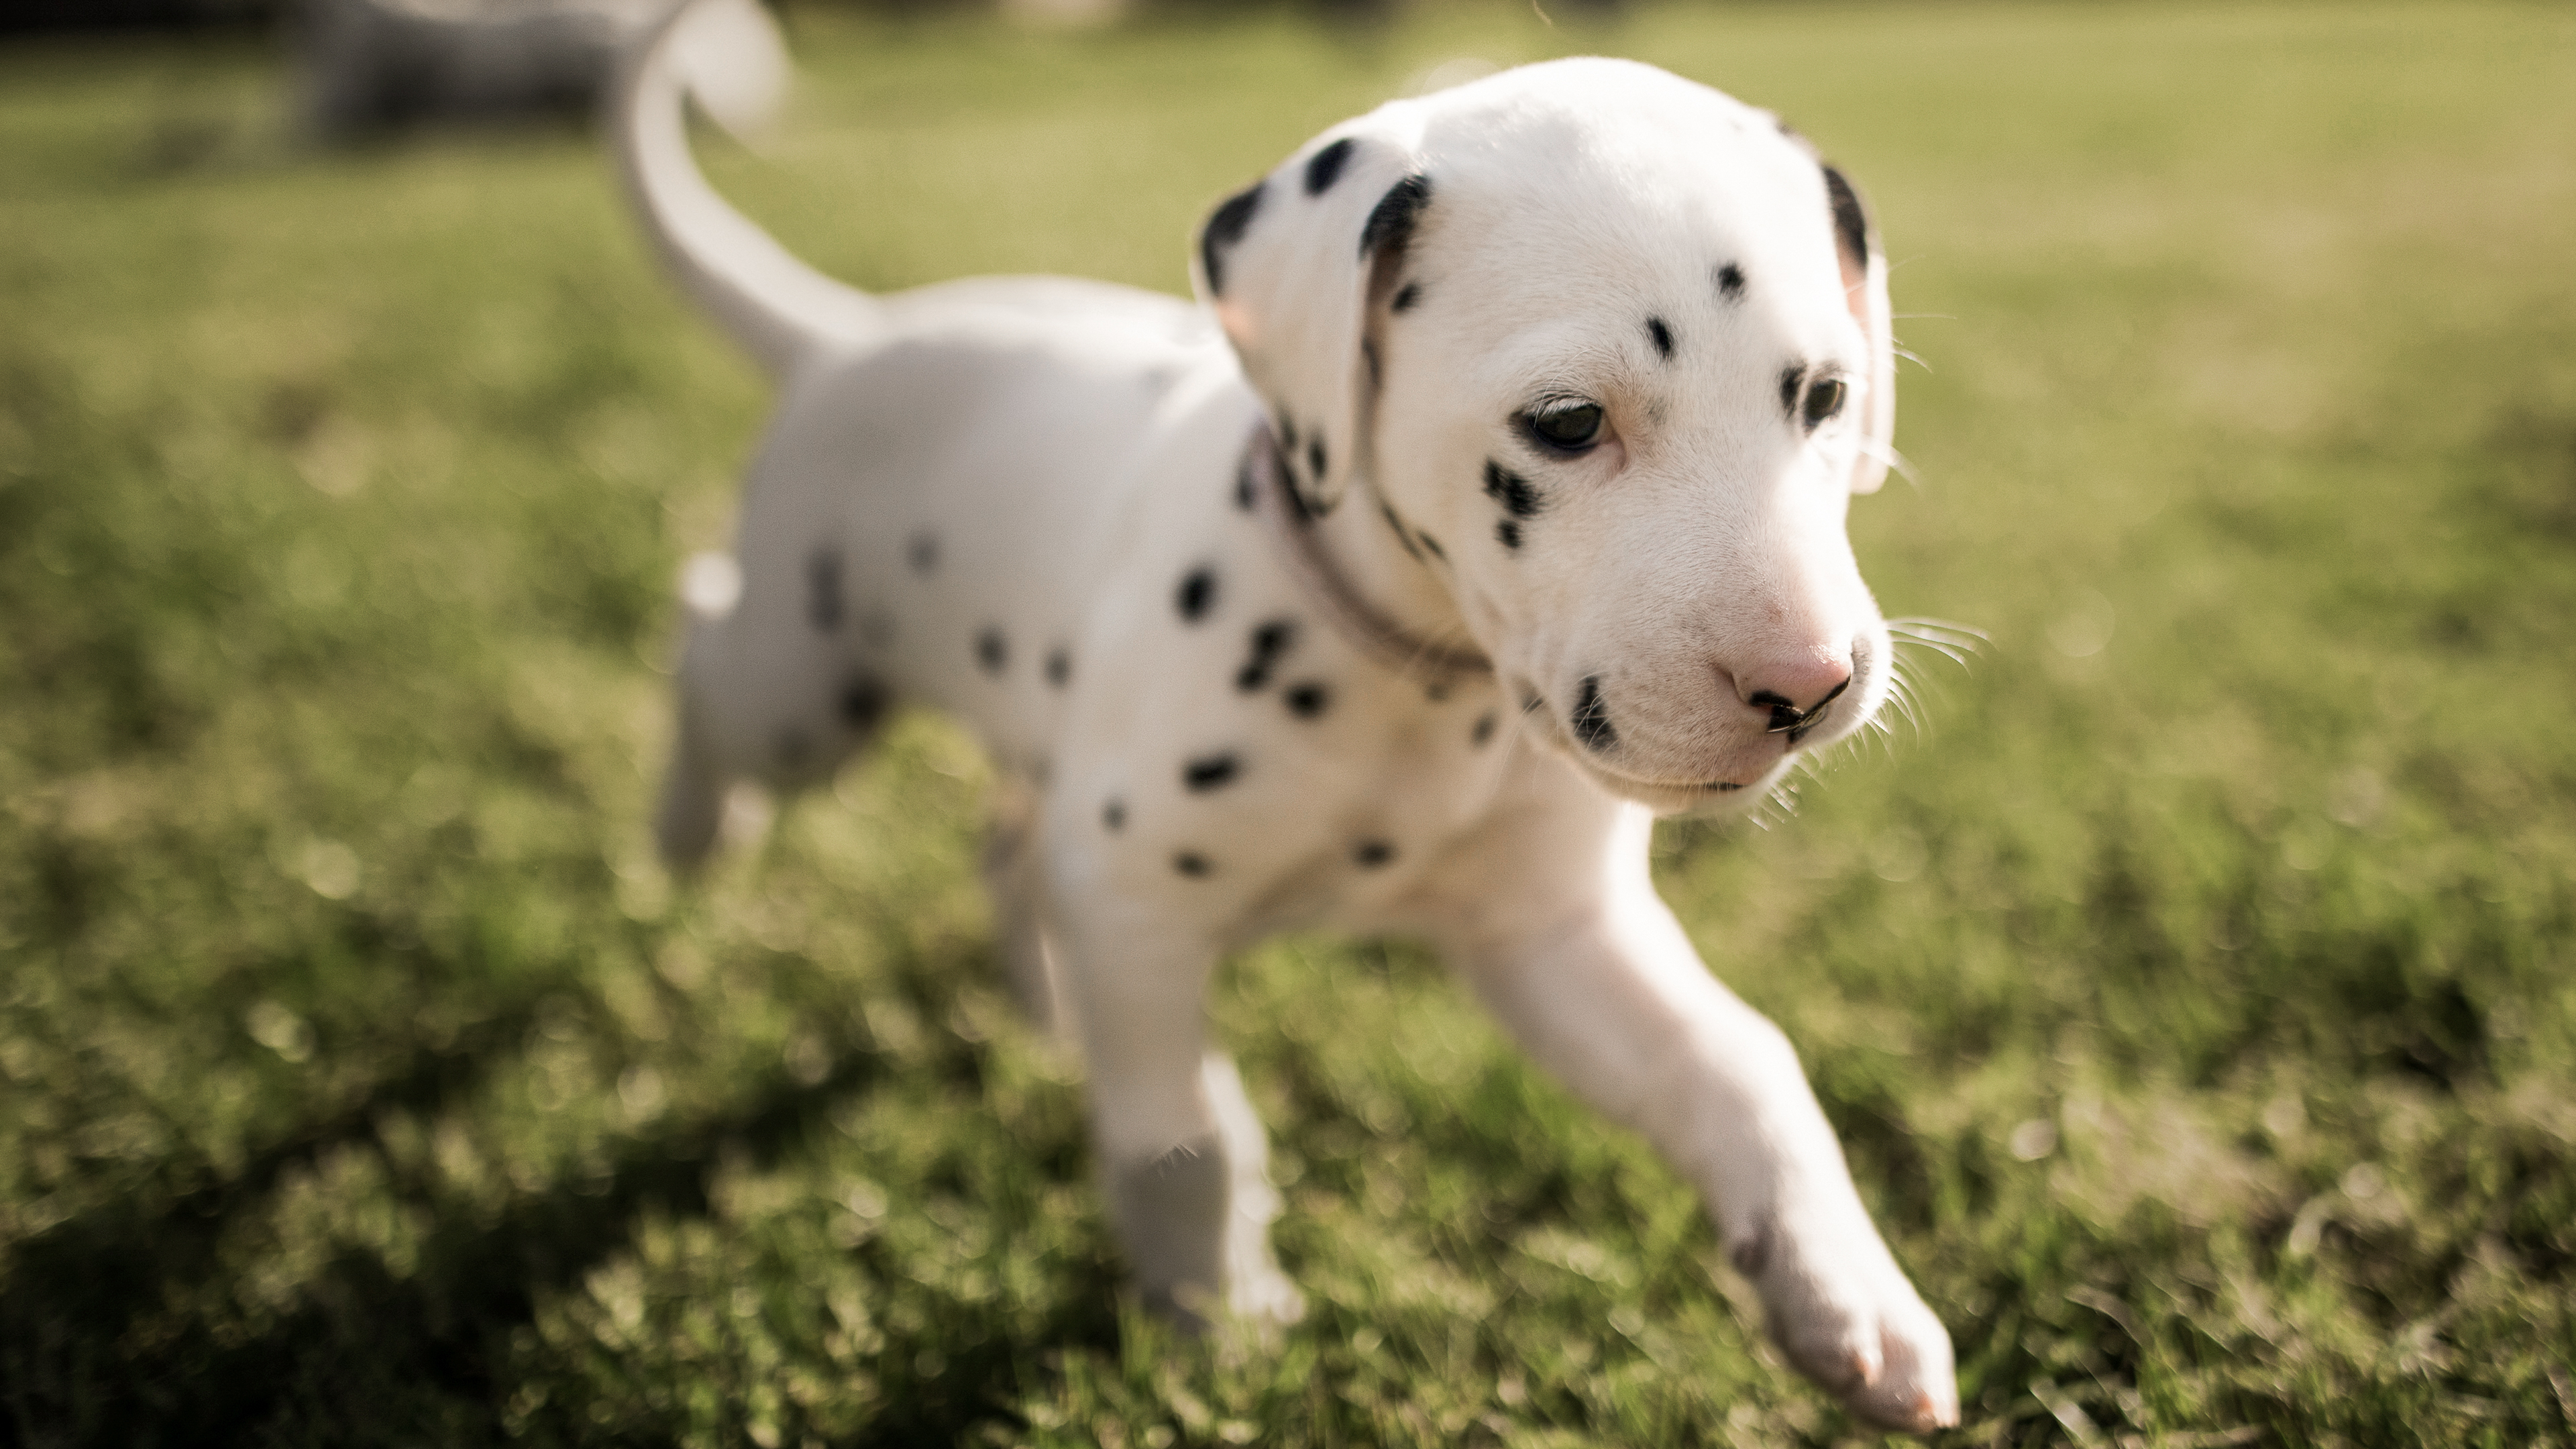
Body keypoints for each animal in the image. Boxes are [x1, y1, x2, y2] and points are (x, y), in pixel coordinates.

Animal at [612, 0, 1957, 1423]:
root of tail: (847, 338)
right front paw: (1222, 1334)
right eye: (1565, 423)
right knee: (703, 633)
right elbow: (1185, 1143)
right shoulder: (1139, 907)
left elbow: (1744, 1063)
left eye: (1826, 399)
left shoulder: (1553, 936)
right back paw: (689, 834)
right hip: (800, 692)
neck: (1416, 680)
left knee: (1008, 838)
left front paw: (1845, 1292)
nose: (1810, 686)